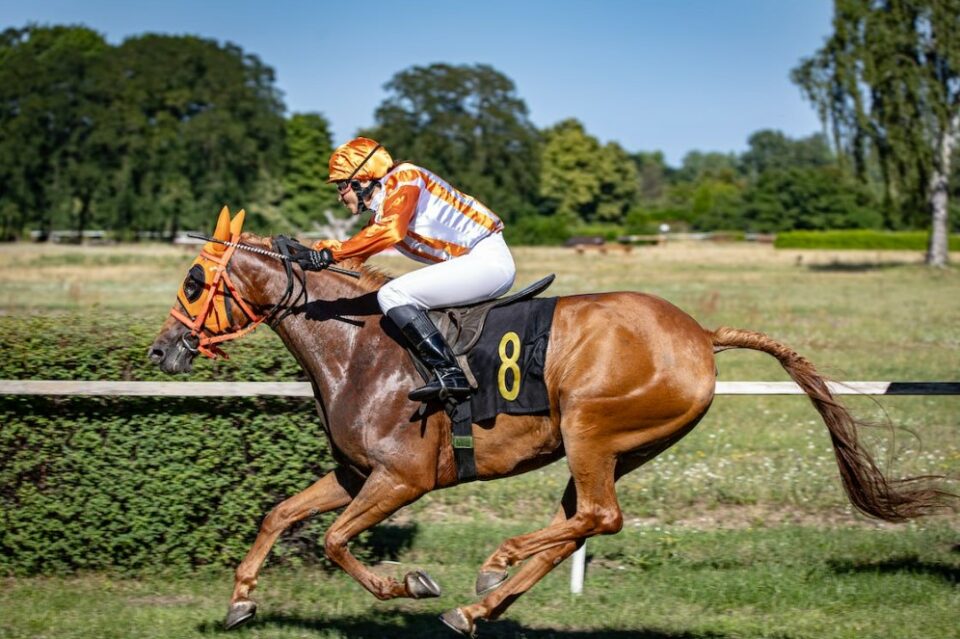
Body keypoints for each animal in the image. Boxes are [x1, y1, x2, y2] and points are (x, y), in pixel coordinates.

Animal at [146, 209, 948, 636]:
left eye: (193, 279)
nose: (162, 349)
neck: (361, 346)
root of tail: (701, 333)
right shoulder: (355, 474)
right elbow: (282, 513)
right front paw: (241, 597)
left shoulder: (402, 478)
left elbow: (338, 541)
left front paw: (410, 583)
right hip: (617, 446)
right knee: (580, 524)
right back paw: (479, 605)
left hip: (592, 424)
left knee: (599, 516)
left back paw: (492, 564)